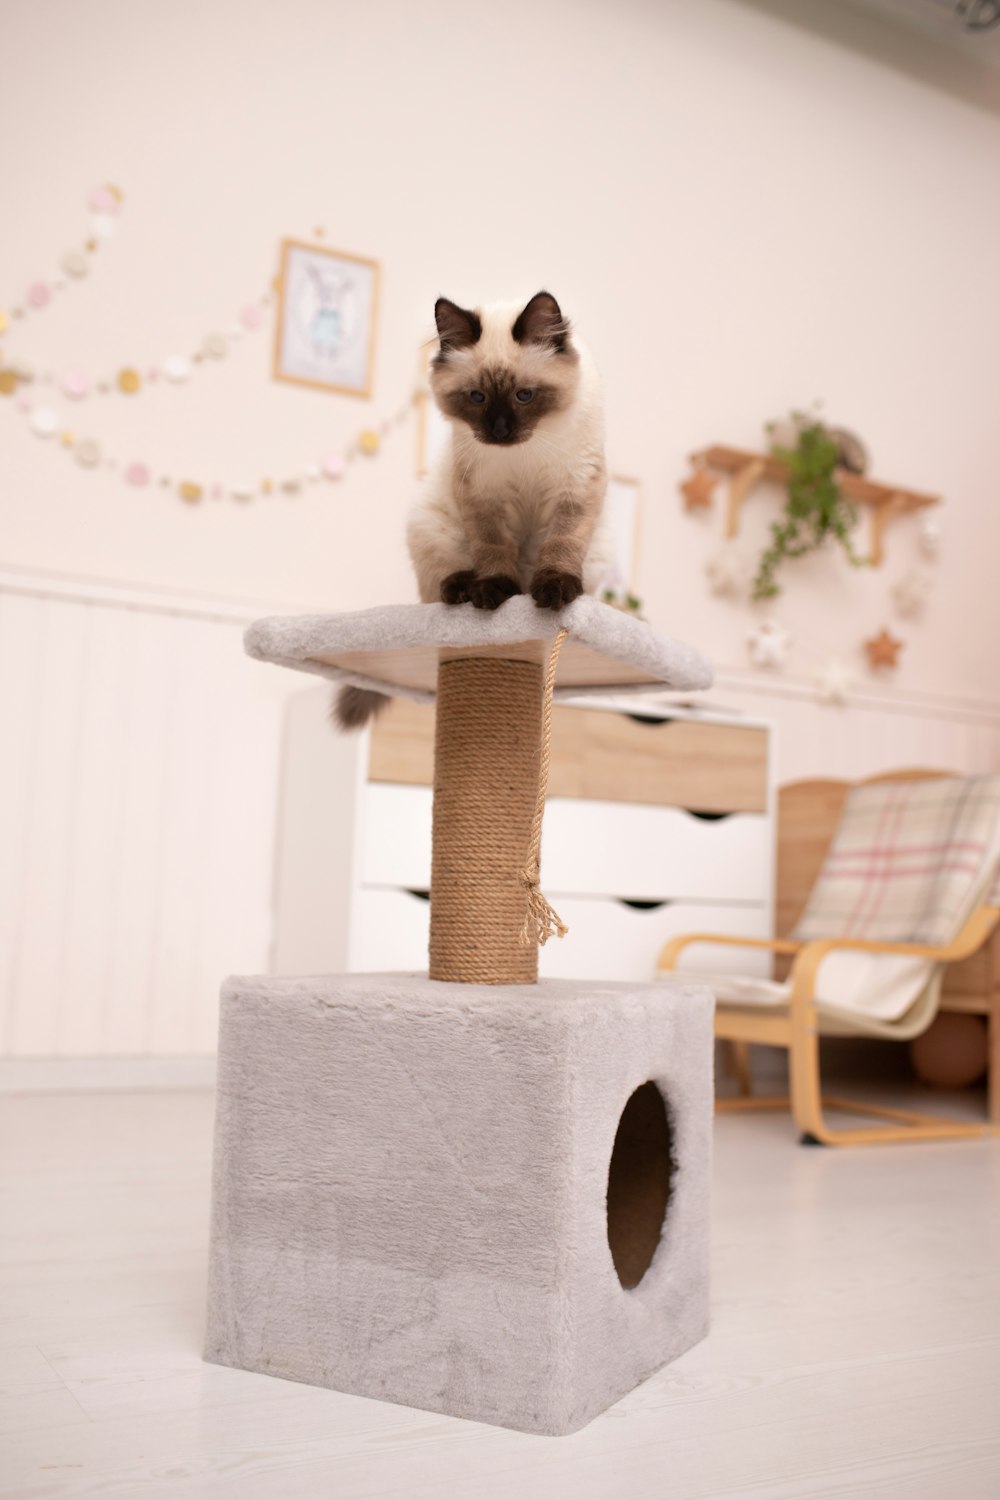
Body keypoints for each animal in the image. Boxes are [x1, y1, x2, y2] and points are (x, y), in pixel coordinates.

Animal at [335, 289, 611, 729]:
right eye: (477, 398)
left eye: (523, 395)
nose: (499, 430)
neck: (523, 454)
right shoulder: (484, 498)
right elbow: (493, 550)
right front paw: (495, 592)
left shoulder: (574, 490)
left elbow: (560, 546)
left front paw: (551, 592)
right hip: (431, 524)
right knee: (443, 585)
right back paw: (468, 591)